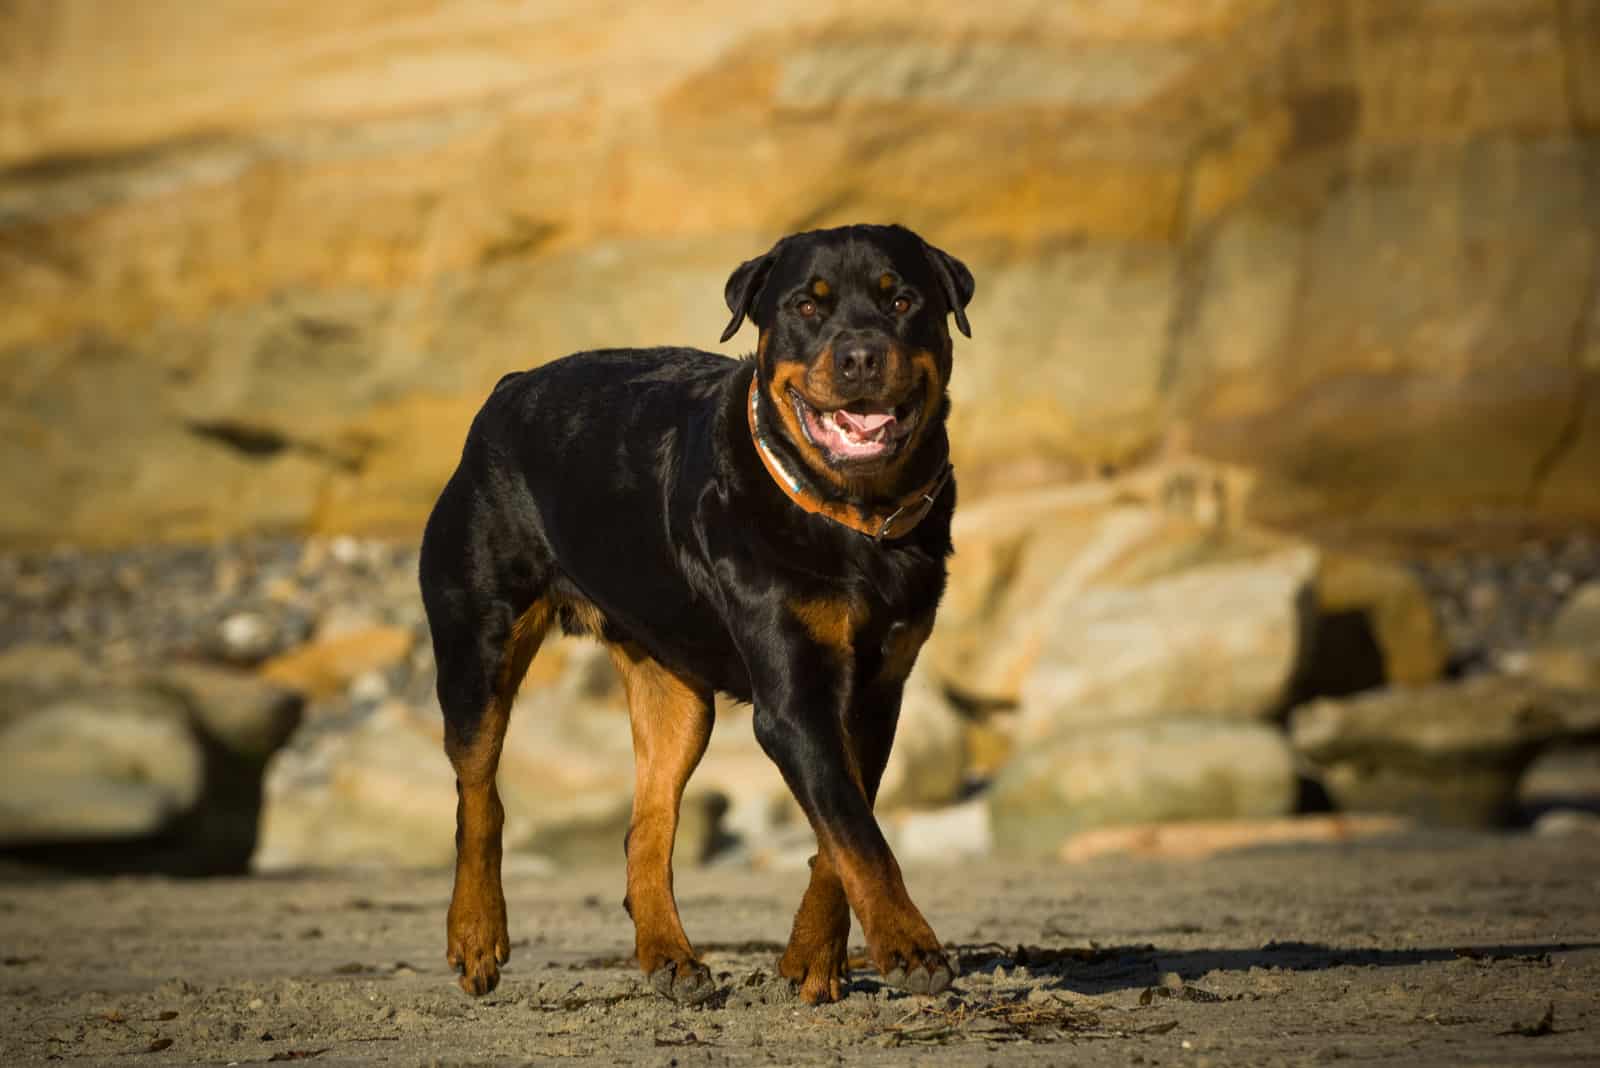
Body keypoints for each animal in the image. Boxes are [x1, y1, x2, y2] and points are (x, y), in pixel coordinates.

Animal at [419, 220, 966, 1004]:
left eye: (902, 301)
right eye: (807, 306)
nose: (860, 354)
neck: (854, 518)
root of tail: (505, 387)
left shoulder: (876, 693)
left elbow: (841, 830)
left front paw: (812, 956)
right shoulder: (794, 700)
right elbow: (858, 833)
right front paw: (910, 945)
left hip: (674, 690)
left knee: (644, 826)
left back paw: (670, 956)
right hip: (478, 644)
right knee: (477, 793)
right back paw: (475, 935)